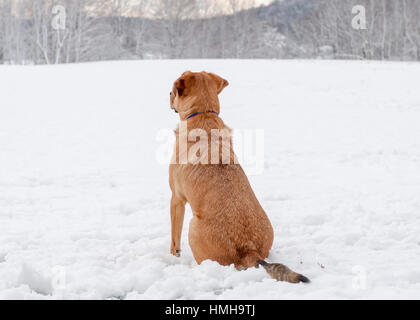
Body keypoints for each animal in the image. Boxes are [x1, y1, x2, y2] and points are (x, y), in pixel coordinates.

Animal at [169, 71, 310, 284]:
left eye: (174, 91)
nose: (168, 94)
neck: (204, 114)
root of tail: (249, 250)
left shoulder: (176, 198)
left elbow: (174, 237)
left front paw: (172, 256)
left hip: (193, 227)